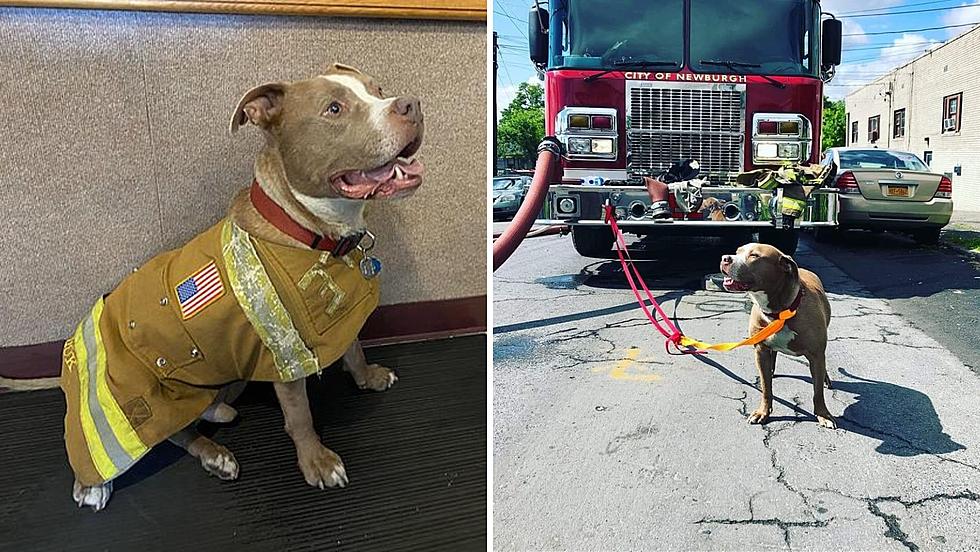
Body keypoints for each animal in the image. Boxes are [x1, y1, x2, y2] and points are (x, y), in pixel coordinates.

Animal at [63, 62, 424, 512]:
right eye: (334, 108)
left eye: (378, 89)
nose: (412, 105)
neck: (312, 230)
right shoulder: (285, 351)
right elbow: (301, 416)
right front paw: (317, 463)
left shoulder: (340, 320)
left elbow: (355, 347)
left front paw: (367, 377)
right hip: (152, 398)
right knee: (170, 433)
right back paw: (203, 458)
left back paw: (218, 420)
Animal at [720, 244, 836, 430]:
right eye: (737, 252)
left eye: (754, 255)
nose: (725, 258)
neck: (779, 312)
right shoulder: (760, 350)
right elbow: (766, 388)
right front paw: (763, 412)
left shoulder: (816, 355)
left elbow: (817, 391)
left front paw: (823, 414)